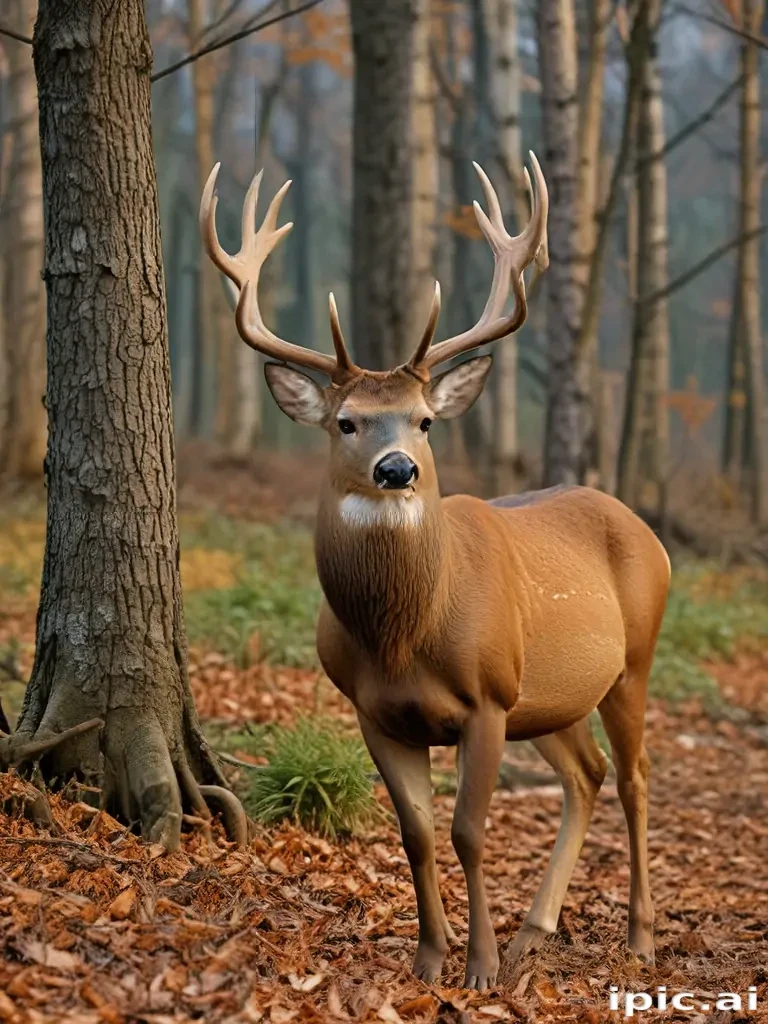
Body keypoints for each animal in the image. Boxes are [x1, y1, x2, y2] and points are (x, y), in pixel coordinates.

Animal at [200, 155, 670, 991]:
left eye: (424, 420)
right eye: (346, 422)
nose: (397, 468)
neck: (405, 634)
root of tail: (648, 532)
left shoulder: (487, 698)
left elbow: (468, 832)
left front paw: (477, 967)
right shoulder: (375, 710)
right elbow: (416, 834)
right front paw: (431, 955)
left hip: (631, 662)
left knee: (634, 778)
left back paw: (639, 939)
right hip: (548, 695)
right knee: (584, 774)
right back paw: (533, 933)